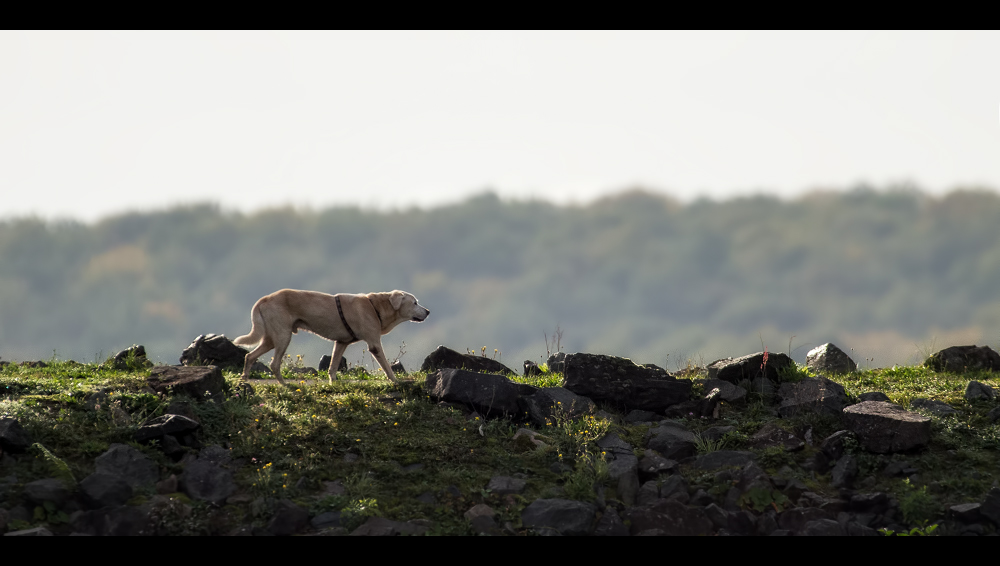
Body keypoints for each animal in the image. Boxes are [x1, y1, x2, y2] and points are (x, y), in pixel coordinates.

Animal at [234, 288, 430, 386]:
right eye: (415, 302)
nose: (428, 311)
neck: (376, 307)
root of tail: (265, 298)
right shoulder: (374, 344)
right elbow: (387, 367)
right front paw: (396, 381)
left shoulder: (341, 343)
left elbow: (333, 366)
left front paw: (333, 383)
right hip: (283, 336)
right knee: (274, 364)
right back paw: (284, 384)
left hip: (270, 338)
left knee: (249, 355)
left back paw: (244, 378)